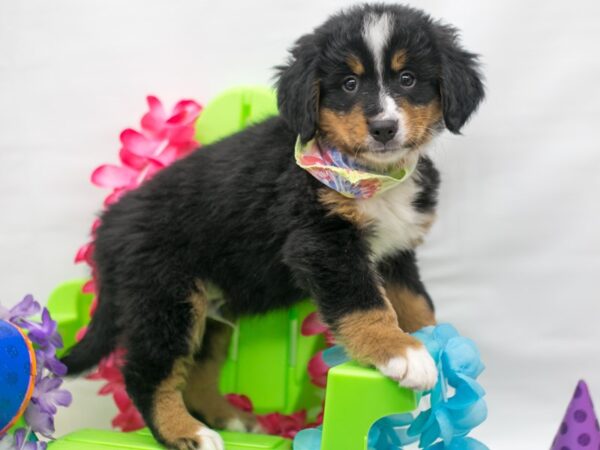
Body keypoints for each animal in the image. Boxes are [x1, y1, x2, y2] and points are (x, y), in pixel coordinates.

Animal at [63, 4, 482, 450]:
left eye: (408, 79)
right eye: (349, 84)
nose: (384, 127)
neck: (371, 175)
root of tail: (109, 225)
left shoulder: (393, 250)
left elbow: (416, 300)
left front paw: (439, 341)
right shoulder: (323, 243)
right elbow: (364, 302)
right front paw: (401, 353)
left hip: (206, 308)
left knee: (197, 371)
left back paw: (231, 418)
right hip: (165, 296)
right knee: (148, 373)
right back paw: (188, 432)